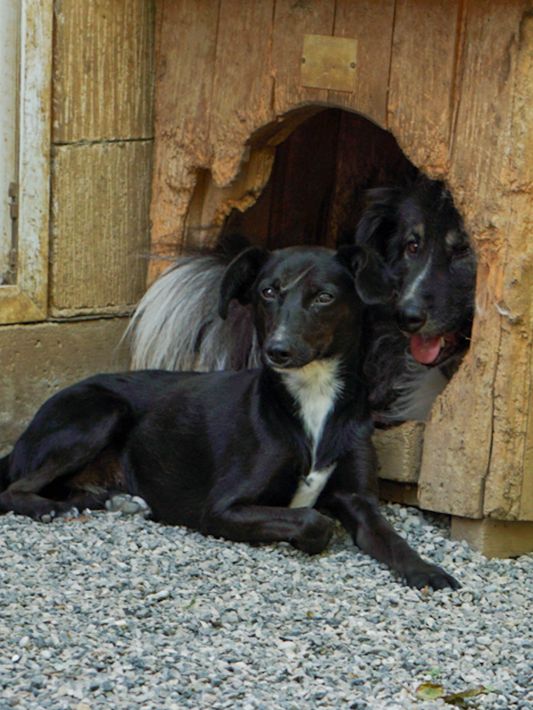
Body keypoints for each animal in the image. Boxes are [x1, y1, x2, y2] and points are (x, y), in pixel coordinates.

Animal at [0, 245, 459, 590]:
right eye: (268, 292)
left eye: (324, 296)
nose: (278, 350)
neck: (311, 397)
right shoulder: (221, 508)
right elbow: (313, 521)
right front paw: (308, 536)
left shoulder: (360, 500)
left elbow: (392, 538)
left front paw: (426, 570)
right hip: (101, 411)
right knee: (14, 490)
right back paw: (53, 509)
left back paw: (106, 500)